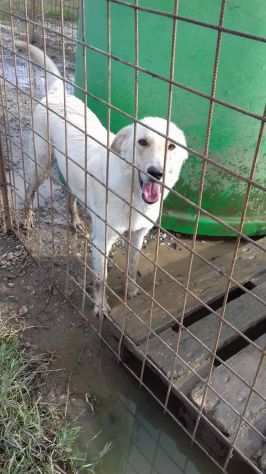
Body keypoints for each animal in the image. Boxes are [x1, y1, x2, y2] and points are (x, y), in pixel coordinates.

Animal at [15, 39, 188, 314]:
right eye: (142, 142)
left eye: (172, 146)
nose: (156, 173)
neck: (131, 194)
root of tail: (59, 93)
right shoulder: (101, 242)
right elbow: (100, 278)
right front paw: (100, 307)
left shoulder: (139, 235)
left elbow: (131, 266)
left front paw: (131, 290)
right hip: (39, 164)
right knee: (30, 191)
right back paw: (27, 218)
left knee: (70, 195)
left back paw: (75, 220)